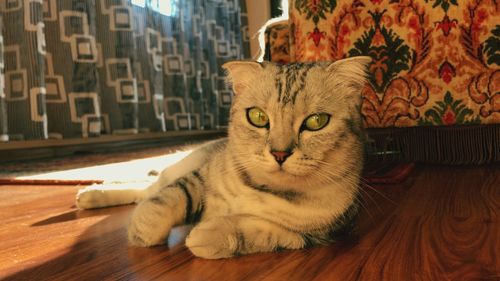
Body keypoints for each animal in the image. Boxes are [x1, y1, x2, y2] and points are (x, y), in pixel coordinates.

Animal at [77, 56, 372, 258]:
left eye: (316, 121)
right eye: (258, 117)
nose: (279, 153)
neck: (264, 189)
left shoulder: (312, 235)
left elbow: (260, 232)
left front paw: (206, 236)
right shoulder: (200, 176)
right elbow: (170, 199)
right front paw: (144, 230)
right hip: (182, 165)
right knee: (150, 187)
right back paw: (91, 194)